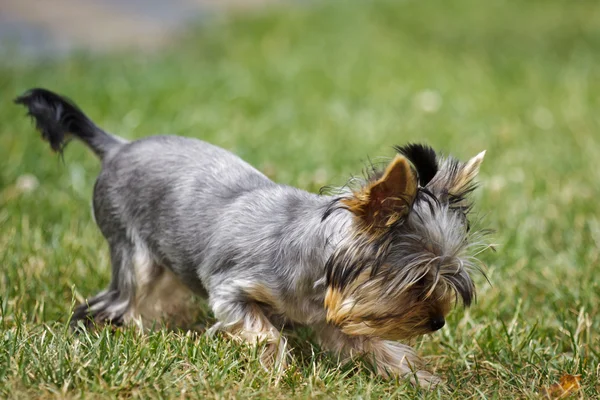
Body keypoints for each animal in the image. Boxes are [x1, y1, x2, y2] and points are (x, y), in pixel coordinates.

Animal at [16, 88, 490, 388]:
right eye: (419, 281)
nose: (438, 321)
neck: (312, 266)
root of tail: (116, 146)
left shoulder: (335, 318)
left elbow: (375, 347)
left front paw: (421, 379)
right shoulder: (230, 290)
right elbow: (266, 334)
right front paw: (279, 373)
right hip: (132, 251)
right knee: (120, 298)